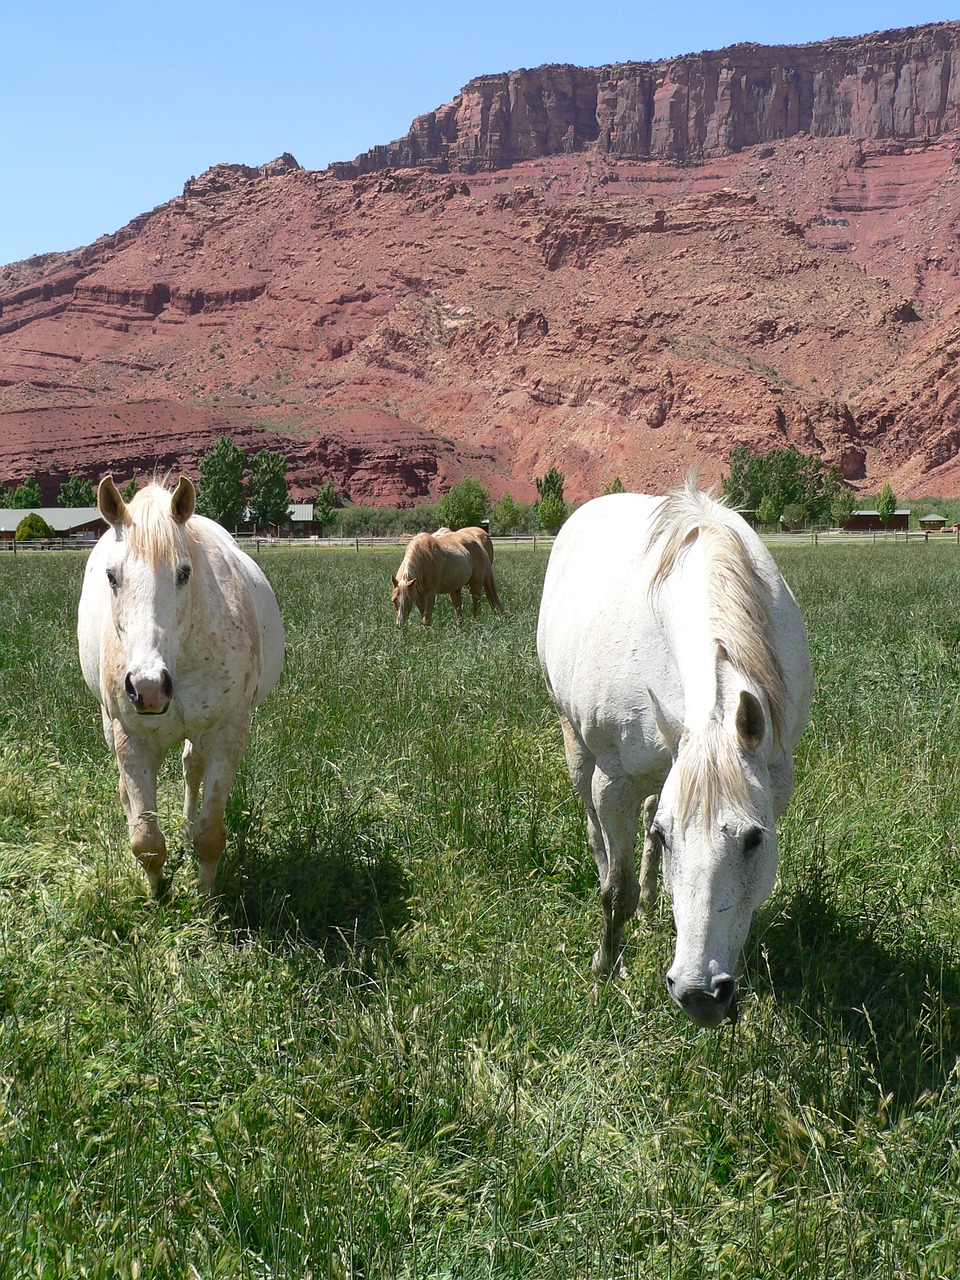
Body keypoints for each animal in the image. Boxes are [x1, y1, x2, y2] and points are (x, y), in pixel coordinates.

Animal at [79, 476, 284, 896]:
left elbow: (211, 836)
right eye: (112, 576)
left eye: (184, 573)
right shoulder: (133, 741)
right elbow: (146, 841)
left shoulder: (226, 734)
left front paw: (205, 897)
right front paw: (158, 893)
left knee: (192, 768)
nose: (148, 686)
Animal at [542, 481, 814, 1029]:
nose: (699, 994)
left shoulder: (773, 783)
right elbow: (616, 889)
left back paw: (652, 901)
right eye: (670, 839)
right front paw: (606, 967)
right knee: (597, 835)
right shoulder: (613, 784)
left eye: (755, 839)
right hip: (577, 747)